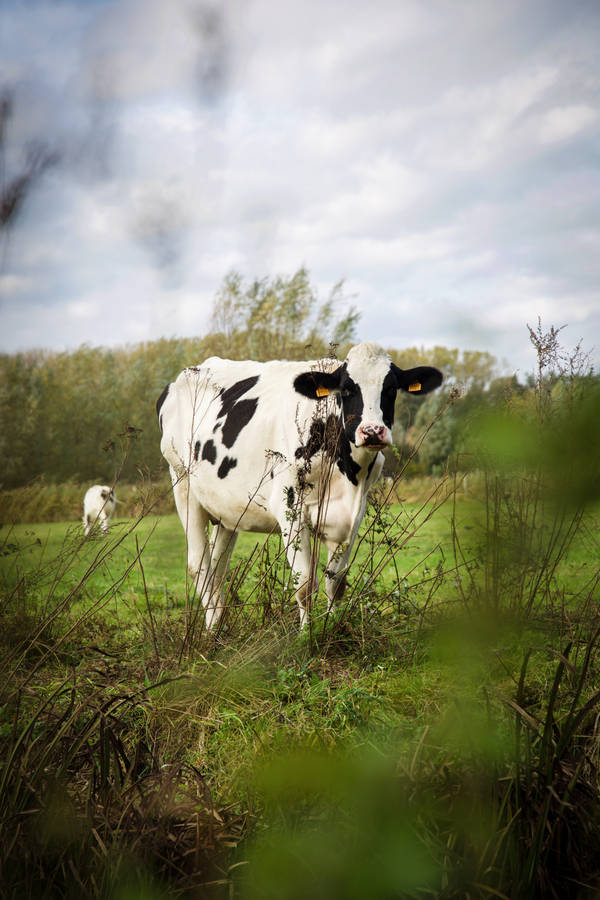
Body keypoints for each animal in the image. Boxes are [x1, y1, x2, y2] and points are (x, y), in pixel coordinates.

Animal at [157, 342, 442, 630]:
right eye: (347, 388)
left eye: (391, 388)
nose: (372, 431)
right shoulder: (289, 507)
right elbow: (305, 584)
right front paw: (307, 634)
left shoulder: (352, 514)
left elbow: (336, 583)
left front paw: (331, 628)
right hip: (183, 485)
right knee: (199, 567)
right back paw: (211, 630)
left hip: (227, 509)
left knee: (218, 567)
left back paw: (217, 628)